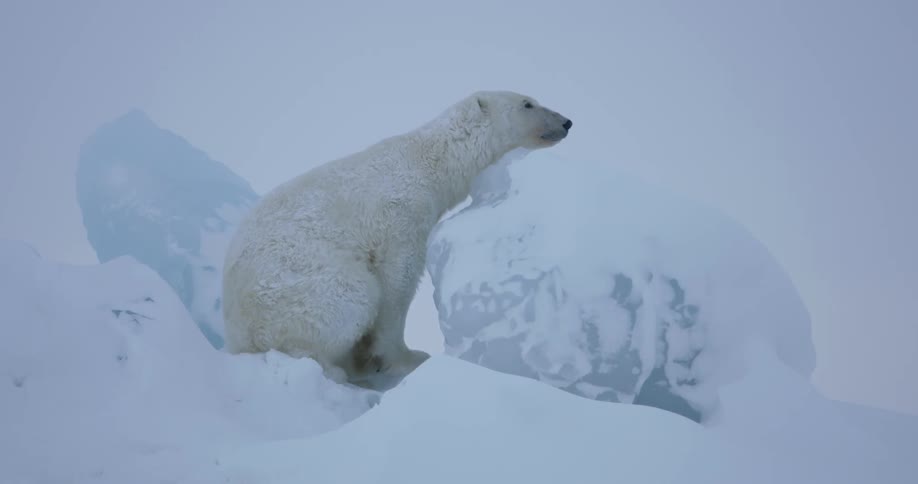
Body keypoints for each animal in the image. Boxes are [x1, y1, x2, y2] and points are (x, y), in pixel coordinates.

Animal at [222, 90, 572, 390]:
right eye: (527, 103)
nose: (566, 122)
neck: (428, 161)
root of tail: (239, 338)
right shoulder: (401, 216)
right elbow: (397, 283)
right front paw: (408, 358)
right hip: (298, 288)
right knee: (352, 296)